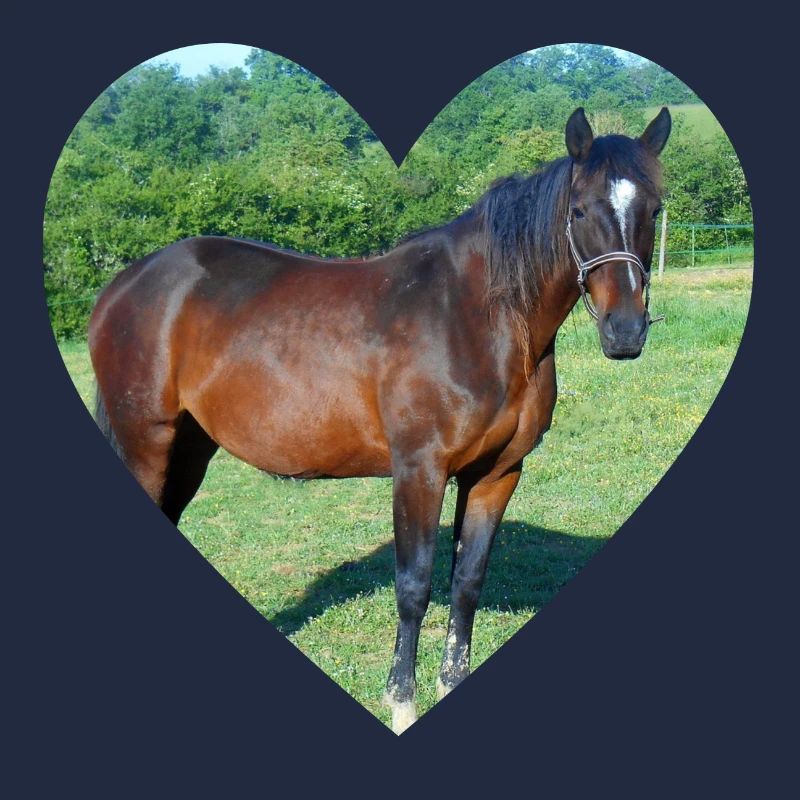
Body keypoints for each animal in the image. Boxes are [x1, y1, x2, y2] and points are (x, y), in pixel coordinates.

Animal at [89, 106, 671, 733]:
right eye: (579, 210)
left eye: (653, 210)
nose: (625, 331)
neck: (476, 317)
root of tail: (124, 285)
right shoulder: (419, 470)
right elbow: (414, 586)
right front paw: (401, 704)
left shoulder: (497, 475)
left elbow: (466, 582)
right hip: (145, 444)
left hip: (190, 449)